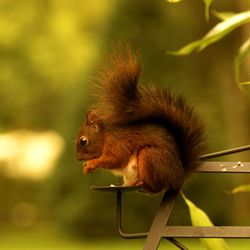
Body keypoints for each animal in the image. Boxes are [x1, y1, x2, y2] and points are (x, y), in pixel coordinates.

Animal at [76, 44, 207, 192]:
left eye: (83, 141)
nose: (78, 159)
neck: (104, 136)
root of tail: (178, 176)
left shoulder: (117, 143)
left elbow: (114, 159)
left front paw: (91, 163)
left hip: (149, 156)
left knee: (156, 188)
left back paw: (142, 184)